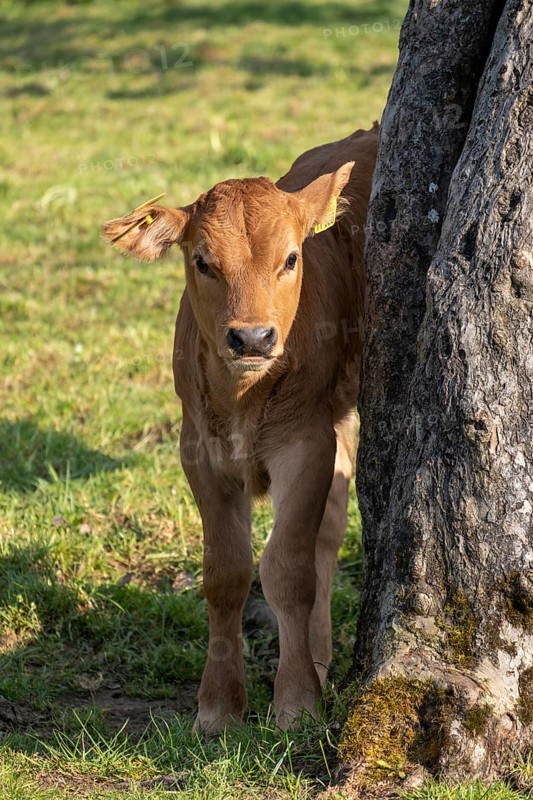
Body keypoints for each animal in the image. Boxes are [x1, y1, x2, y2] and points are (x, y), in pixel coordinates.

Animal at [102, 124, 379, 733]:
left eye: (291, 258)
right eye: (203, 261)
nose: (252, 337)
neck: (241, 404)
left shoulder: (306, 443)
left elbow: (287, 569)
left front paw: (296, 702)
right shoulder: (198, 452)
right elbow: (224, 574)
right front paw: (218, 707)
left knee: (324, 537)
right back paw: (319, 658)